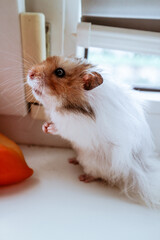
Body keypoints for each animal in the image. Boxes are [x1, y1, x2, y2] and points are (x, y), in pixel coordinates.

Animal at [27, 56, 160, 206]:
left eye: (60, 72)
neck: (67, 106)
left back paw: (83, 177)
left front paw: (49, 128)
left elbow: (61, 128)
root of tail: (131, 168)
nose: (30, 73)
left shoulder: (75, 125)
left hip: (93, 163)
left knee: (98, 175)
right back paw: (72, 160)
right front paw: (44, 127)